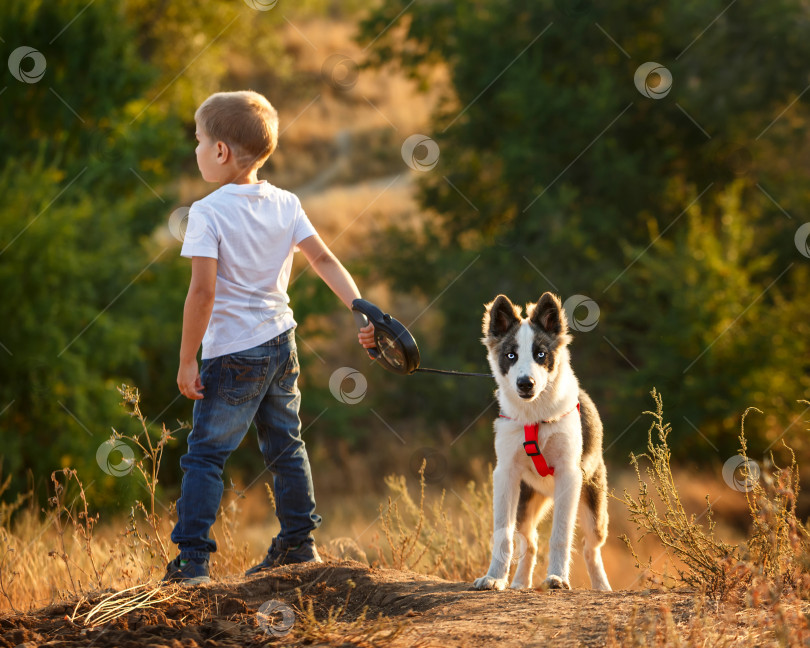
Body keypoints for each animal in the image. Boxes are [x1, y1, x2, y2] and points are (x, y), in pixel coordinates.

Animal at [470, 294, 608, 592]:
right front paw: (494, 577)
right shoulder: (506, 475)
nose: (526, 384)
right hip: (525, 503)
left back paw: (603, 587)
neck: (535, 416)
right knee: (529, 542)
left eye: (541, 354)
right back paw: (519, 583)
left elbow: (560, 535)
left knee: (590, 547)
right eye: (510, 355)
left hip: (593, 508)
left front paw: (557, 578)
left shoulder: (569, 475)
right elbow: (502, 535)